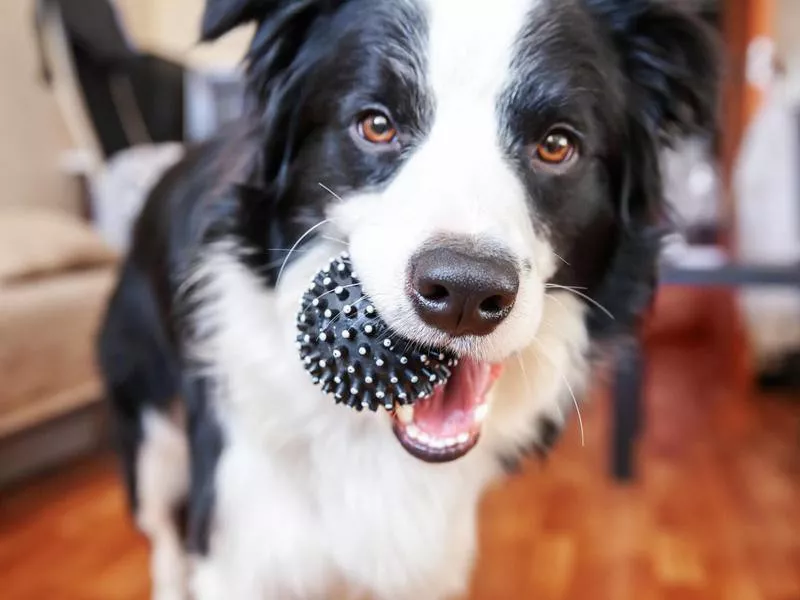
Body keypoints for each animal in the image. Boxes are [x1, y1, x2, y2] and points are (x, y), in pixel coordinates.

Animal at [97, 0, 716, 596]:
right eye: (375, 125)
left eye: (557, 145)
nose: (465, 291)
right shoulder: (241, 541)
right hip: (150, 432)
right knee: (162, 530)